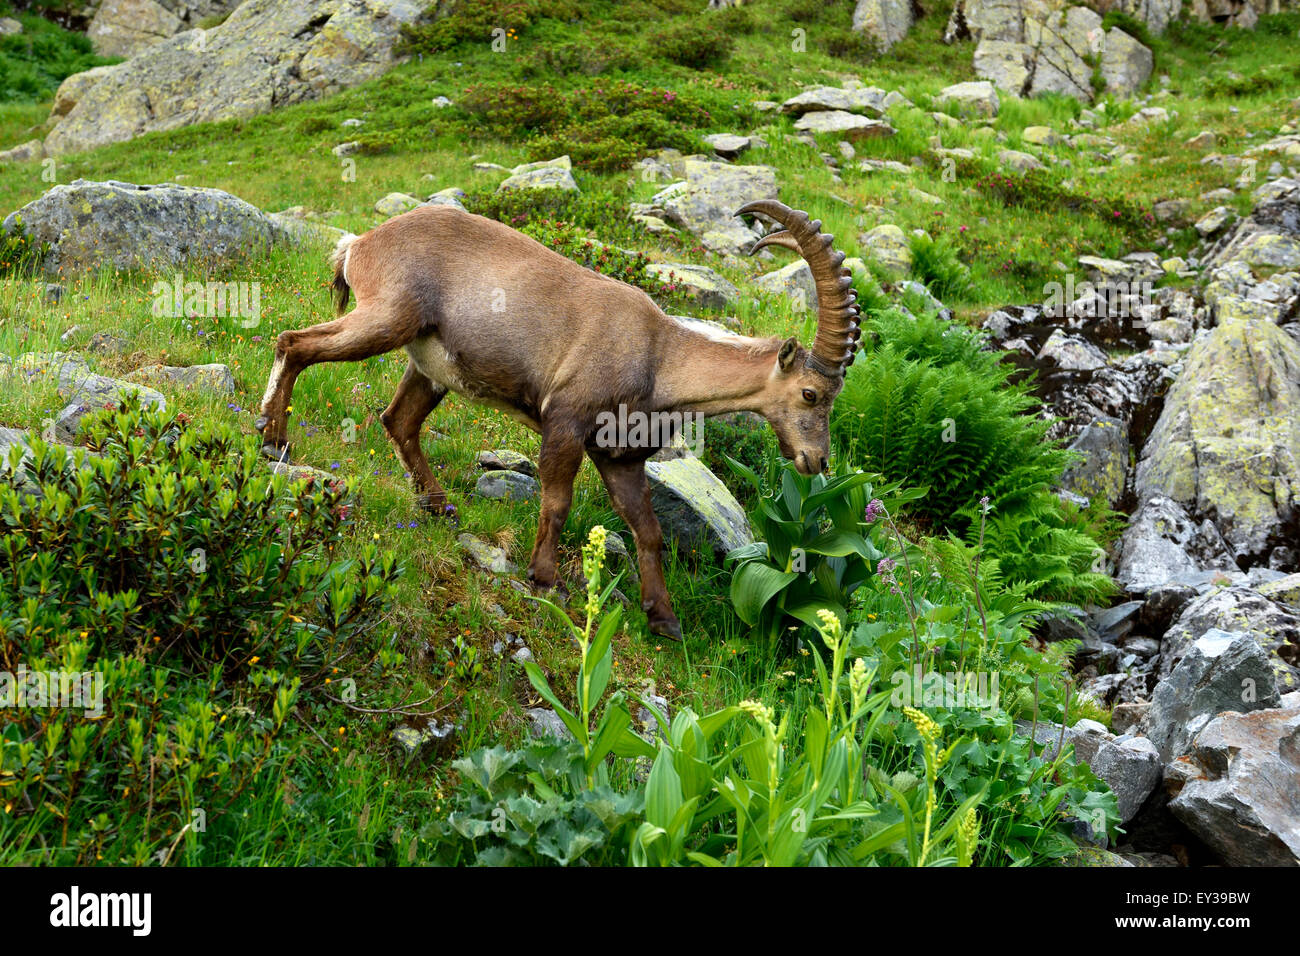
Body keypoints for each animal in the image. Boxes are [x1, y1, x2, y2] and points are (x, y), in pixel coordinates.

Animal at [256, 200, 860, 641]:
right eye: (810, 393)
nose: (816, 460)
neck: (658, 357)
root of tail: (359, 243)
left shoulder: (619, 457)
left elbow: (649, 531)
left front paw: (664, 619)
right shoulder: (566, 422)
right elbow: (558, 501)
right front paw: (545, 581)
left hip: (429, 366)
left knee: (397, 419)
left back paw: (438, 505)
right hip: (386, 317)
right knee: (294, 343)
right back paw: (273, 438)